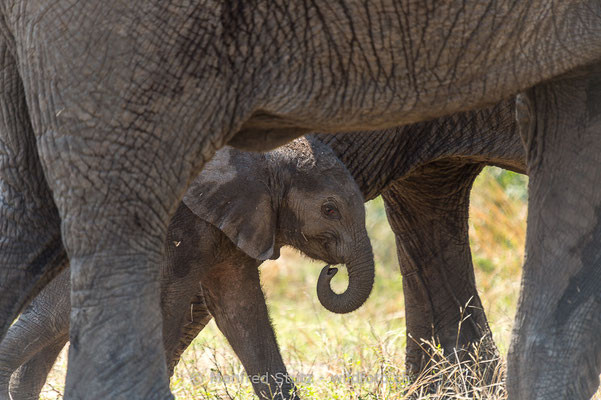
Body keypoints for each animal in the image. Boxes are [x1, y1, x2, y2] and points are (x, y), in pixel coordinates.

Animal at [0, 136, 372, 398]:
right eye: (329, 210)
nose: (331, 271)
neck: (262, 156)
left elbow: (240, 308)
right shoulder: (181, 225)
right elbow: (169, 305)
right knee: (50, 318)